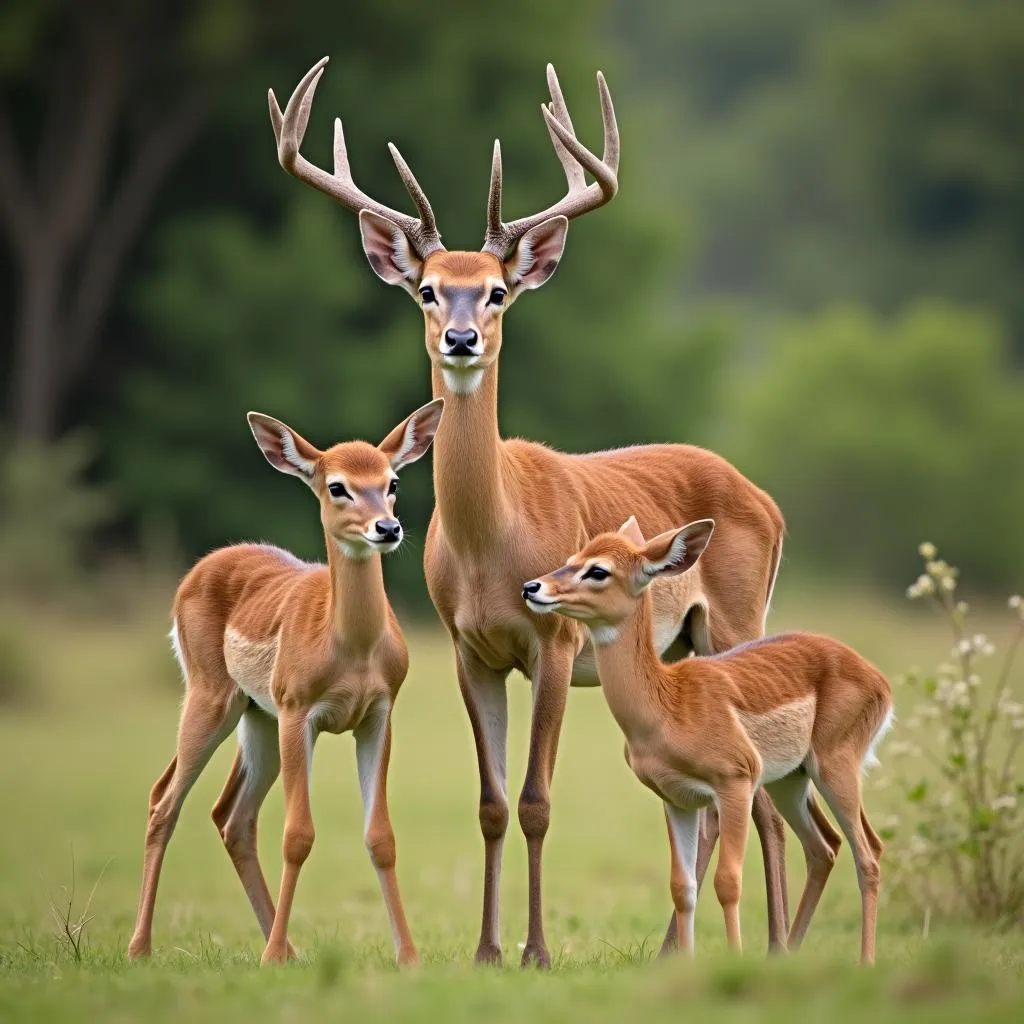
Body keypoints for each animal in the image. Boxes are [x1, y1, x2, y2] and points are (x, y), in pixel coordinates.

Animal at [125, 401, 442, 966]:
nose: (388, 528)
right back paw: (141, 947)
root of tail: (199, 569)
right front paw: (269, 956)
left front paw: (408, 956)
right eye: (337, 486)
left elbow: (380, 836)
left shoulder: (379, 712)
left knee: (231, 815)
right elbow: (298, 834)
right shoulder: (299, 709)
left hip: (257, 716)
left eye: (392, 481)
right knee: (165, 799)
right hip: (211, 693)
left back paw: (289, 947)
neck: (351, 651)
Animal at [268, 58, 786, 966]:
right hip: (683, 645)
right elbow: (491, 802)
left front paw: (537, 951)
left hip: (735, 618)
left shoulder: (555, 641)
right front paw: (485, 950)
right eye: (429, 291)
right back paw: (678, 948)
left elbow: (539, 799)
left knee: (766, 804)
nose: (462, 339)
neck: (491, 542)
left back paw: (776, 944)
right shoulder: (468, 647)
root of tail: (765, 500)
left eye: (499, 292)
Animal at [524, 524, 892, 962]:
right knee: (825, 847)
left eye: (598, 570)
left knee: (869, 853)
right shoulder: (677, 798)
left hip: (835, 769)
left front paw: (734, 960)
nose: (532, 586)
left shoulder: (734, 783)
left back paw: (865, 961)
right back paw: (788, 953)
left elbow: (728, 881)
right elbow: (682, 888)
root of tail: (880, 681)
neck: (666, 705)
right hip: (789, 781)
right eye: (574, 556)